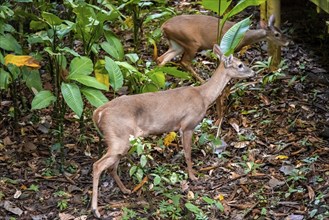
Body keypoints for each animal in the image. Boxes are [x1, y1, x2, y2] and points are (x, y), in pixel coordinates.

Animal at [91, 43, 255, 217]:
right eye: (240, 65)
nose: (253, 72)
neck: (203, 96)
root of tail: (99, 112)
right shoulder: (188, 124)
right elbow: (188, 153)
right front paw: (193, 177)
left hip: (122, 139)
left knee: (111, 167)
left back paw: (125, 190)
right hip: (119, 137)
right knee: (98, 165)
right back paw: (95, 209)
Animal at [156, 14, 288, 82]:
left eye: (281, 31)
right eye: (277, 34)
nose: (287, 42)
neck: (245, 36)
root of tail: (163, 26)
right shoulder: (229, 48)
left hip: (177, 44)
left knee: (161, 59)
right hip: (191, 42)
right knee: (184, 62)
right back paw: (202, 81)